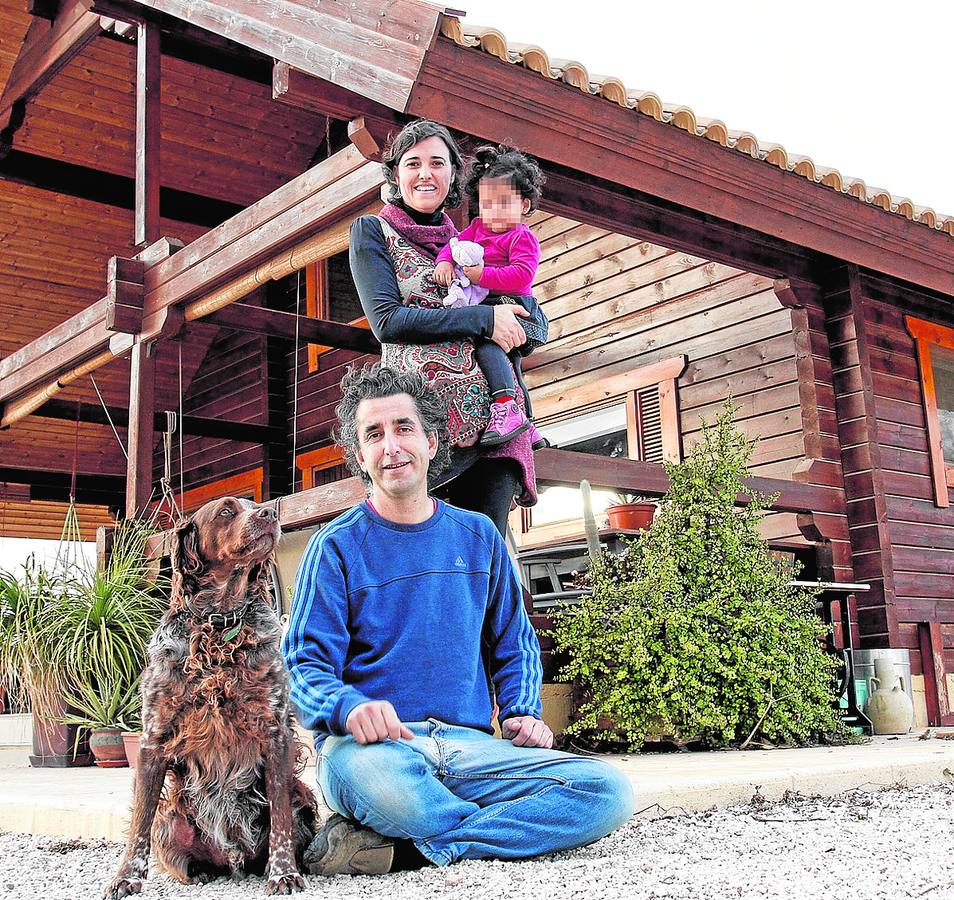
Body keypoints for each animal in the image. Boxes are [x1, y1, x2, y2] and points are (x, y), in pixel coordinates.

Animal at [105, 496, 316, 896]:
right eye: (226, 511)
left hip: (303, 802)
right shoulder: (152, 741)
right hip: (170, 819)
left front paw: (283, 873)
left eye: (254, 505)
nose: (271, 513)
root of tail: (231, 857)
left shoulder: (276, 734)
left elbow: (280, 818)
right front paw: (125, 878)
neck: (221, 622)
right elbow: (139, 825)